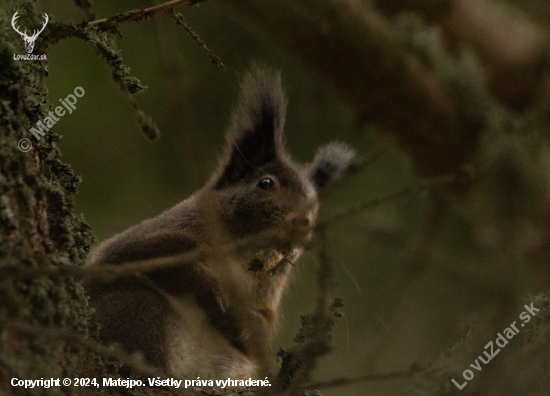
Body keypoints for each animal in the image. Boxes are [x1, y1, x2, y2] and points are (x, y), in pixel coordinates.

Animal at [84, 68, 356, 380]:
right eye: (266, 183)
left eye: (315, 207)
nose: (303, 222)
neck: (244, 257)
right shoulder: (149, 238)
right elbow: (151, 250)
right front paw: (209, 286)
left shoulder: (266, 300)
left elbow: (261, 331)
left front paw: (246, 323)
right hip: (134, 311)